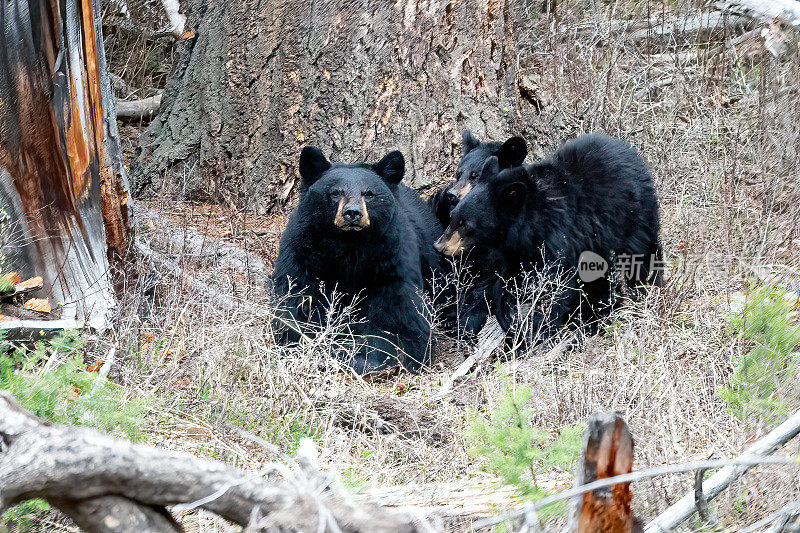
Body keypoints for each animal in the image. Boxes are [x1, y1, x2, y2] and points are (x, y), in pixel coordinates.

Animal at [272, 143, 440, 372]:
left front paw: (364, 358)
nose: (352, 213)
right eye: (335, 192)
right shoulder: (302, 252)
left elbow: (400, 319)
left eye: (369, 194)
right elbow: (296, 300)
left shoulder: (392, 261)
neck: (350, 245)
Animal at [434, 135, 660, 338]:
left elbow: (554, 283)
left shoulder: (559, 240)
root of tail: (630, 151)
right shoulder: (517, 250)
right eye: (458, 174)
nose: (439, 246)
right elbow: (505, 281)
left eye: (466, 225)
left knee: (641, 254)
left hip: (633, 219)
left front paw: (537, 329)